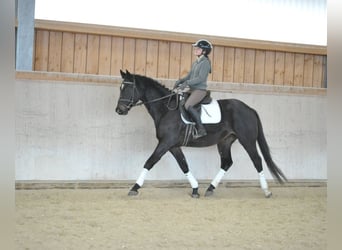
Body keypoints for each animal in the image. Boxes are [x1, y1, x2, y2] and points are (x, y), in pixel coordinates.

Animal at [115, 70, 286, 197]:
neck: (166, 109)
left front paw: (134, 188)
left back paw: (266, 191)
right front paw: (195, 189)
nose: (119, 110)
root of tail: (249, 109)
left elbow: (150, 162)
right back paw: (210, 188)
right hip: (225, 141)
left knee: (257, 160)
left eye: (127, 88)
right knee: (226, 163)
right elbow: (184, 165)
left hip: (247, 140)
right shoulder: (172, 145)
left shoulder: (166, 143)